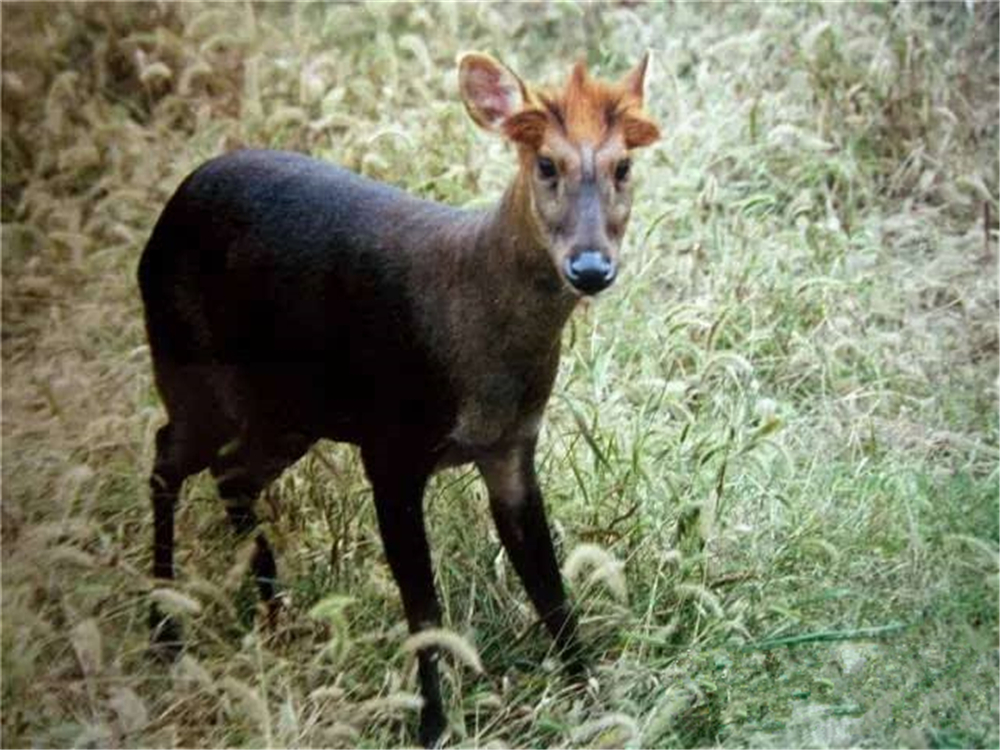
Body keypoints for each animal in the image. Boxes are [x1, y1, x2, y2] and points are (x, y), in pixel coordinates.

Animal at [139, 51, 656, 748]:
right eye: (546, 164)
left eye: (623, 166)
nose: (591, 267)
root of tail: (163, 220)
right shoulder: (391, 450)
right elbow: (424, 609)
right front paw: (432, 724)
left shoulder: (511, 447)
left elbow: (547, 581)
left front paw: (593, 693)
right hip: (191, 372)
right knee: (166, 458)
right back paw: (166, 630)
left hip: (287, 412)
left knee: (231, 474)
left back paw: (277, 611)